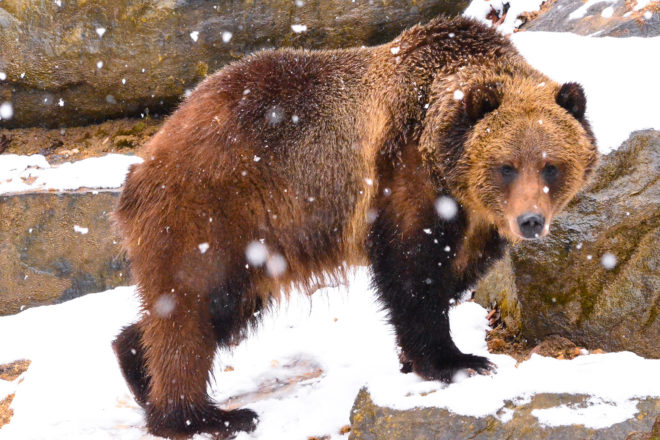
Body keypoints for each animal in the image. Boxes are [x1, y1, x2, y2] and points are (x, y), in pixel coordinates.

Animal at [112, 15, 600, 438]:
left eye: (551, 166)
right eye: (507, 166)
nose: (530, 220)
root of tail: (148, 155)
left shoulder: (475, 223)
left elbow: (453, 274)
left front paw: (420, 358)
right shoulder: (403, 179)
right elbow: (411, 275)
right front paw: (457, 360)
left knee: (214, 311)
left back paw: (136, 364)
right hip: (211, 212)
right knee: (192, 307)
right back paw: (202, 416)